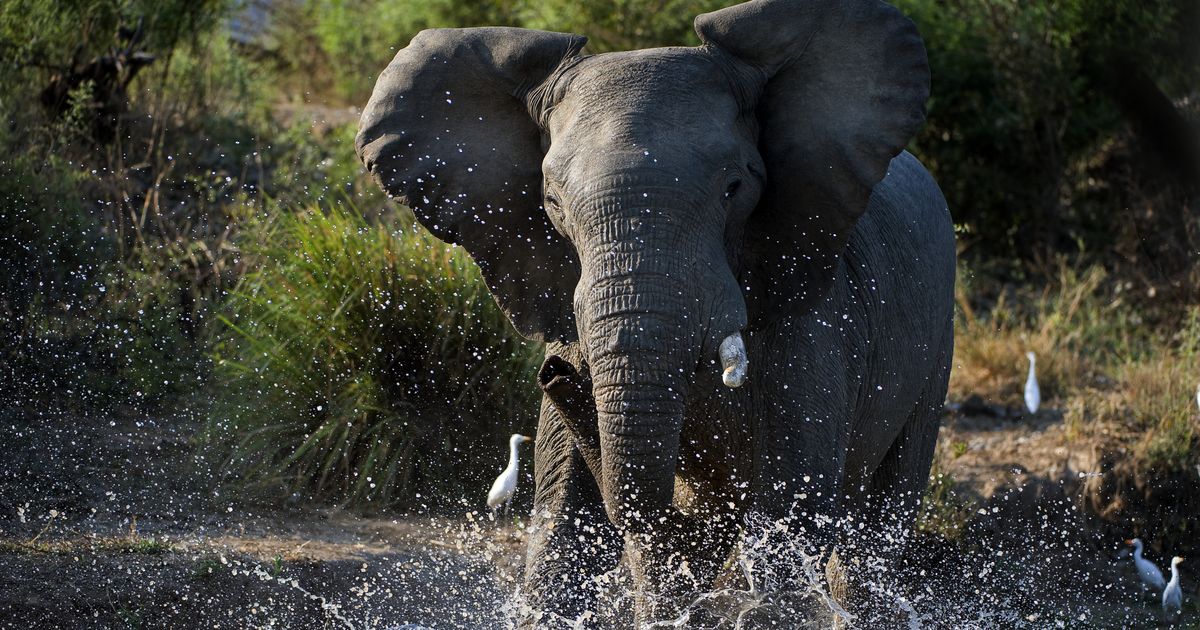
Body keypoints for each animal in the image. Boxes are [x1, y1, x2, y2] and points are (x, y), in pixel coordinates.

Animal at [356, 0, 955, 626]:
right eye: (551, 204)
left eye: (735, 187)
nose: (554, 376)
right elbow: (564, 514)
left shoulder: (816, 315)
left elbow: (787, 520)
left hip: (937, 340)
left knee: (874, 537)